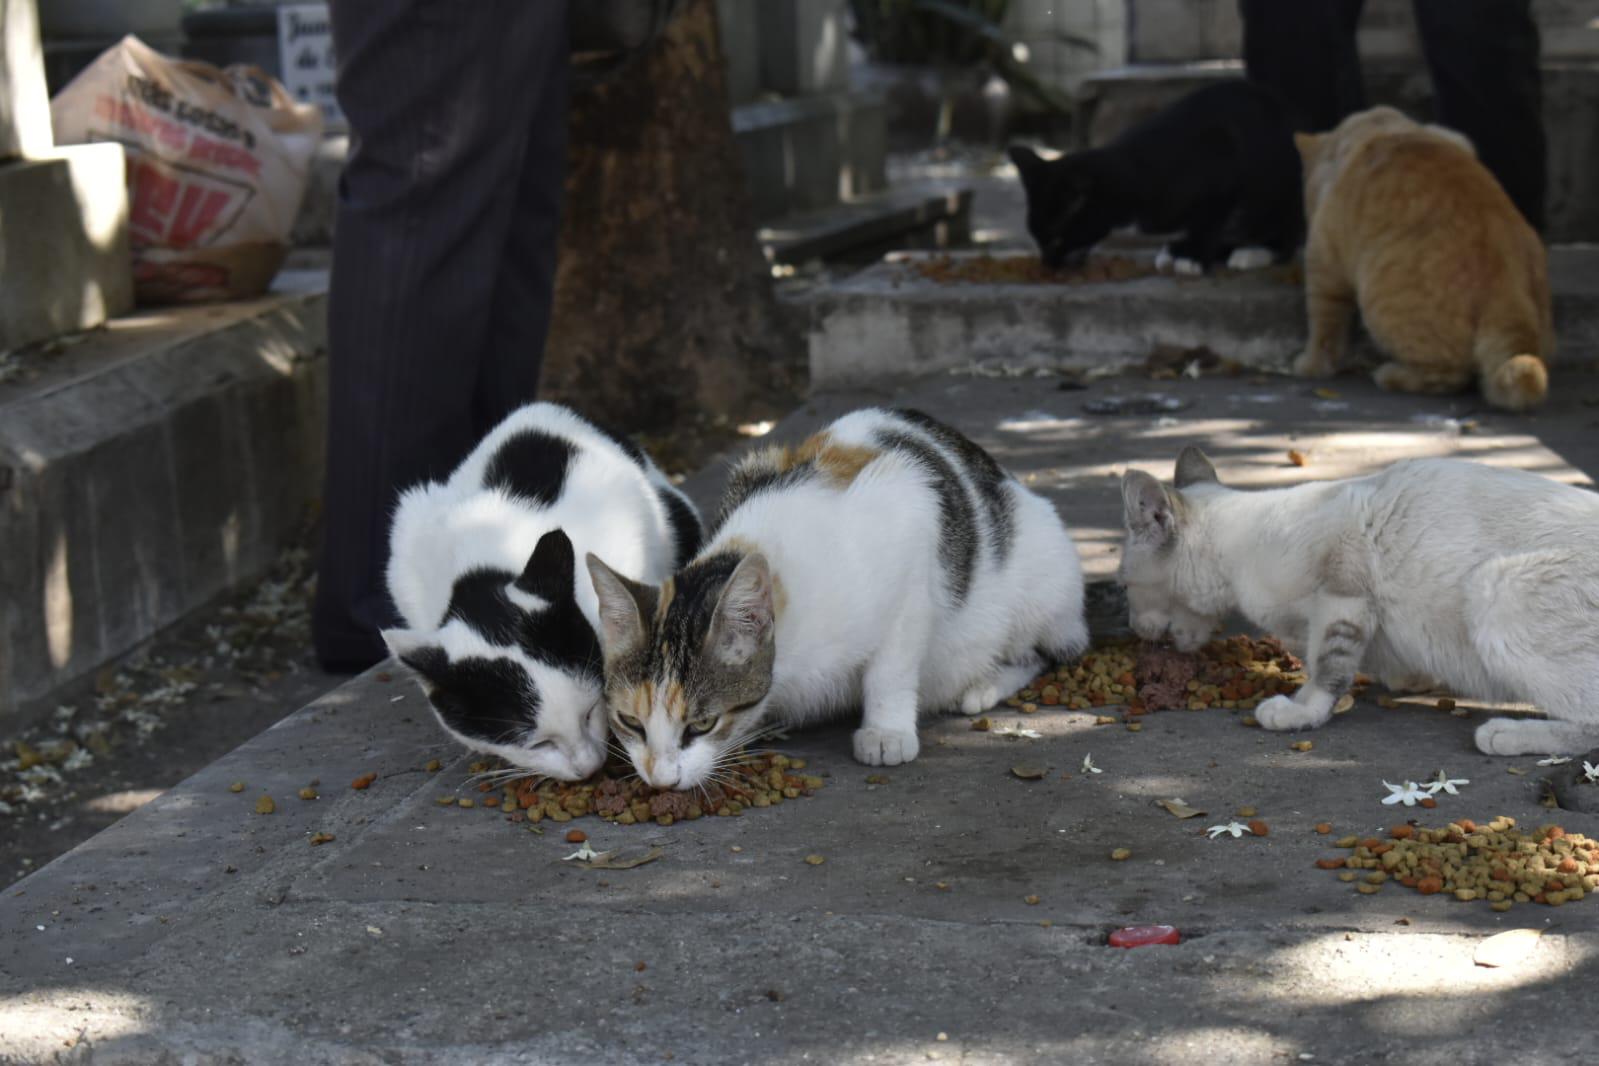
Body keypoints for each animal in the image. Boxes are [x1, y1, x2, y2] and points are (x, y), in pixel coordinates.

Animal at [588, 409, 1087, 792]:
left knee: (1043, 653)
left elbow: (892, 665)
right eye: (630, 723)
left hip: (1041, 587)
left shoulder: (909, 535)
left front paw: (886, 731)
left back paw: (980, 686)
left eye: (701, 725)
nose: (660, 780)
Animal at [1004, 82, 1304, 274]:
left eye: (1055, 240)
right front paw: (1182, 250)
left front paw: (1194, 257)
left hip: (1279, 193)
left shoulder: (1223, 165)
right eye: (1036, 238)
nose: (1046, 263)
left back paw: (1253, 251)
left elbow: (1209, 220)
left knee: (1285, 234)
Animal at [1119, 447, 1599, 754]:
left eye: (1123, 584)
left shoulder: (1342, 597)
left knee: (1589, 725)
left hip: (1495, 587)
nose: (1134, 628)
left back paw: (1502, 735)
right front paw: (1416, 681)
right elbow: (1389, 664)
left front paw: (1297, 713)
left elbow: (1326, 671)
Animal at [1298, 105, 1547, 412]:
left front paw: (1310, 365)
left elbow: (1323, 327)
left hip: (1384, 306)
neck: (1381, 131)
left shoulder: (1324, 263)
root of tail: (1508, 275)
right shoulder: (1455, 137)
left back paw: (1392, 374)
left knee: (1448, 376)